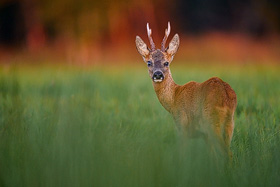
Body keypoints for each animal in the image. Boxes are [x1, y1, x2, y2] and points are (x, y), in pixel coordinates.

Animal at [135, 22, 236, 156]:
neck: (173, 100)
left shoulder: (182, 125)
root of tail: (226, 95)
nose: (157, 74)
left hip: (212, 122)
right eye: (149, 63)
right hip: (229, 125)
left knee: (227, 153)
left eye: (166, 63)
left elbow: (183, 153)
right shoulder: (204, 135)